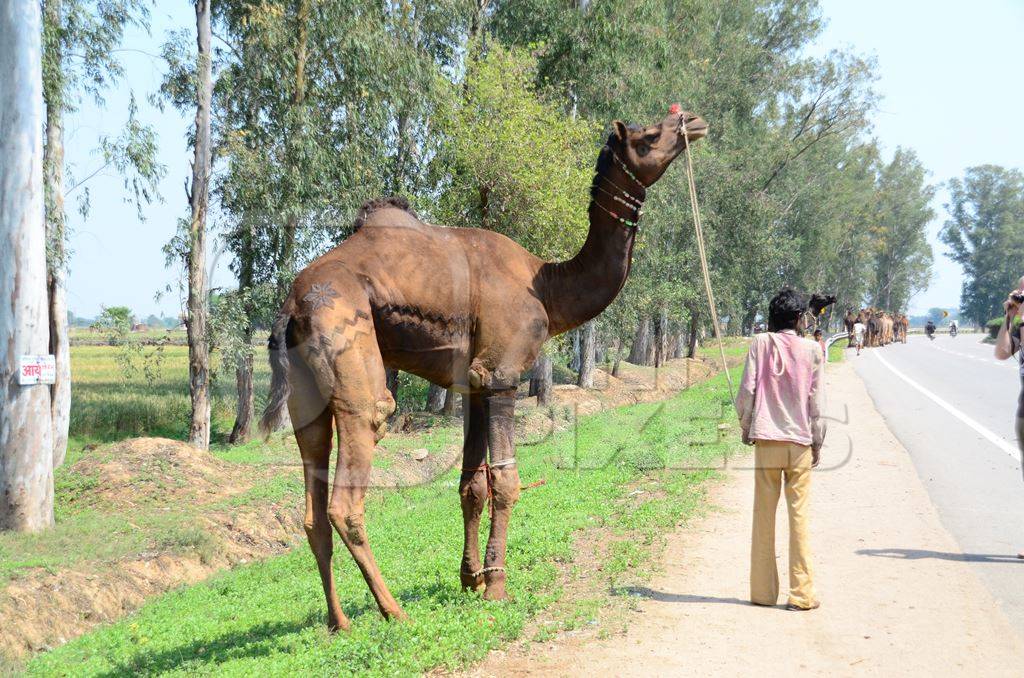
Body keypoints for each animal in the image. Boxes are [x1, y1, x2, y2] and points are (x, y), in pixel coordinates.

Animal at [256, 106, 708, 630]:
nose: (694, 122)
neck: (547, 287)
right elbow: (506, 481)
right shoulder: (502, 374)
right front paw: (497, 586)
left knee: (312, 504)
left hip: (306, 395)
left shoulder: (473, 383)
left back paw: (339, 623)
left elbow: (471, 485)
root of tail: (291, 307)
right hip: (350, 352)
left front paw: (470, 578)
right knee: (350, 485)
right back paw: (394, 612)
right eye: (649, 135)